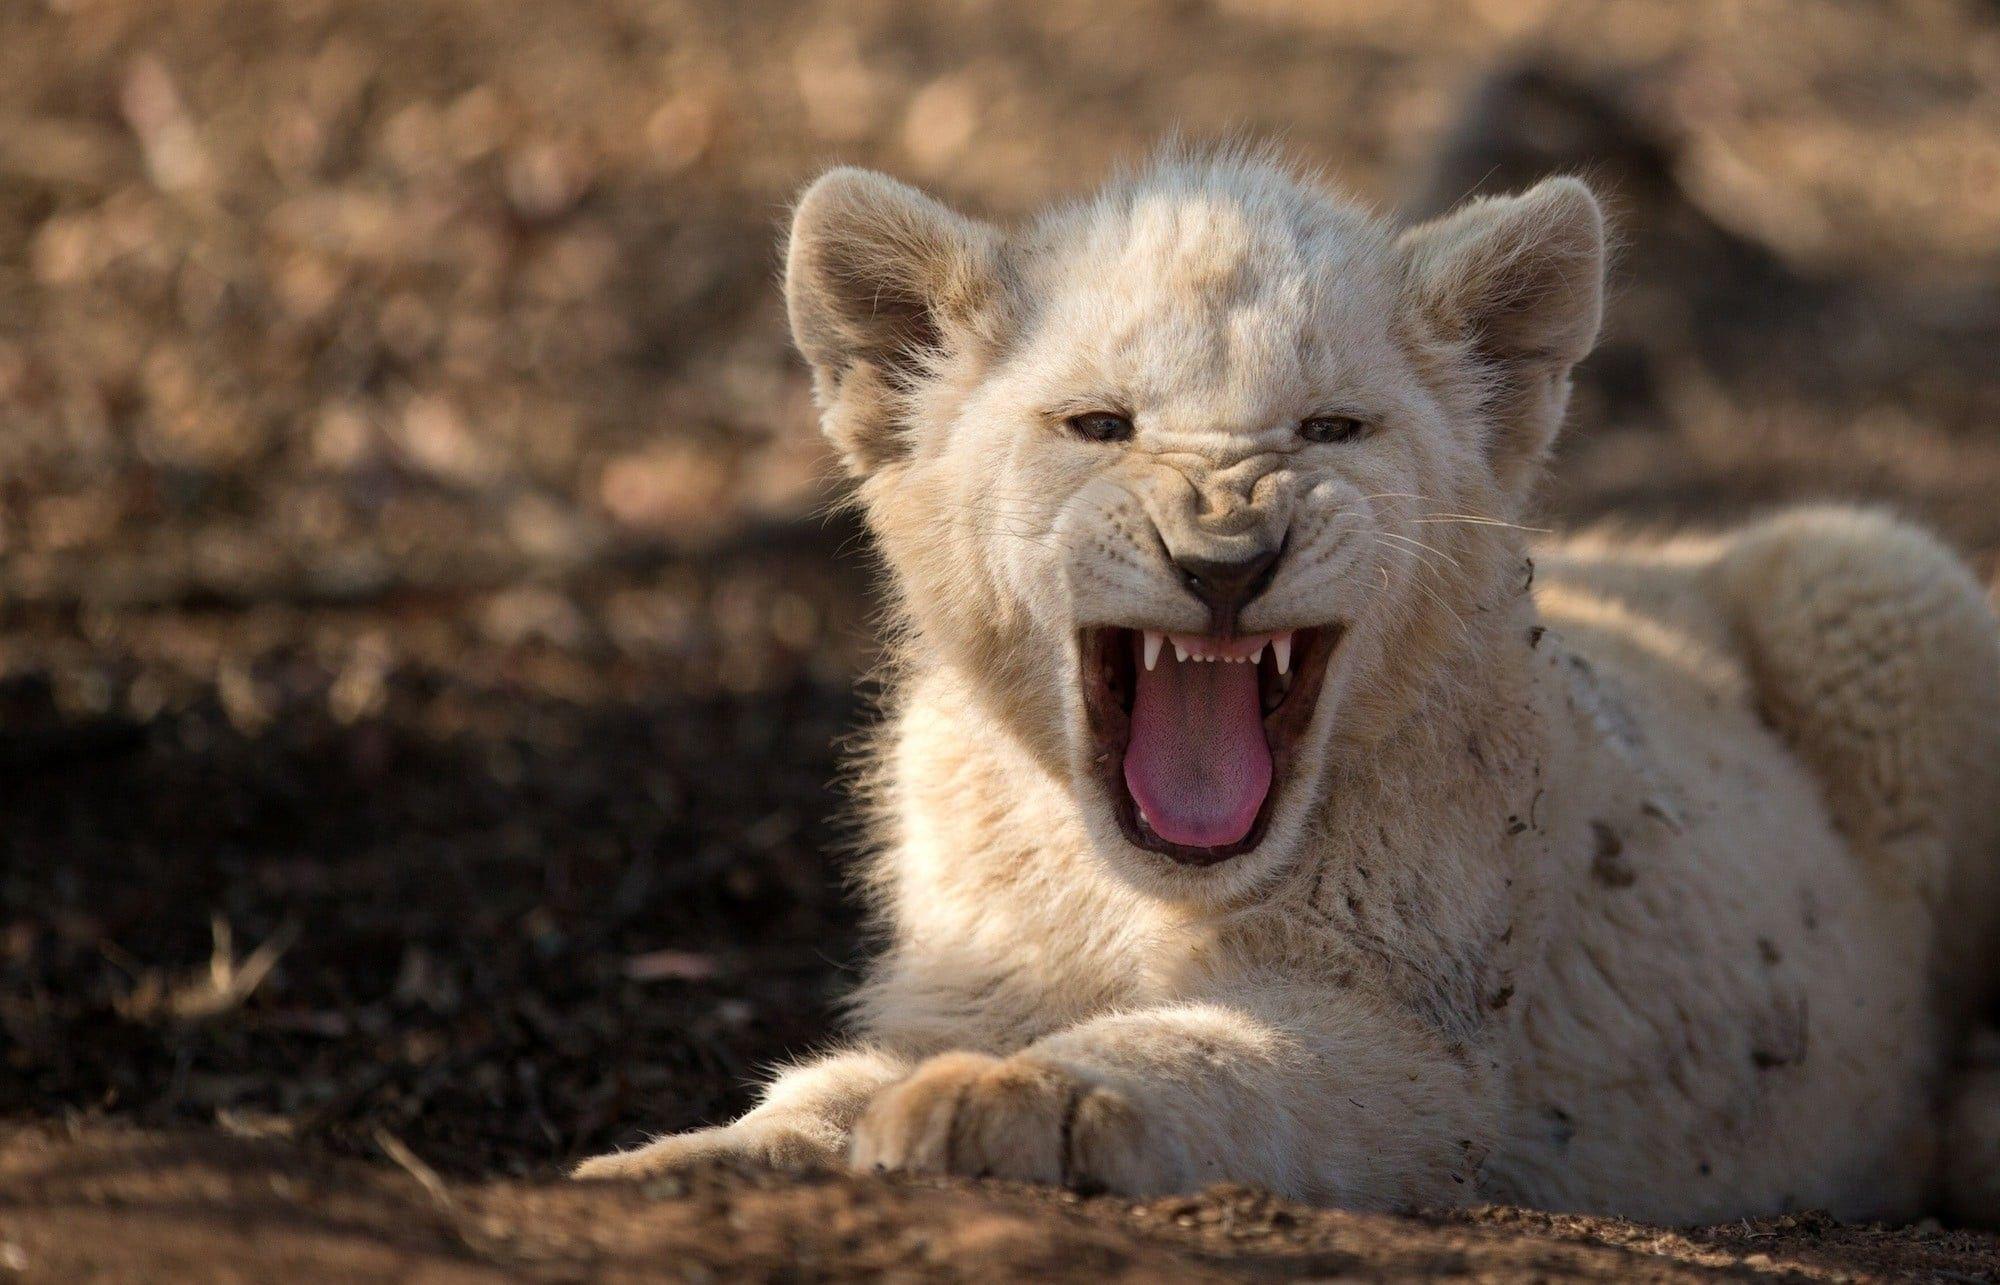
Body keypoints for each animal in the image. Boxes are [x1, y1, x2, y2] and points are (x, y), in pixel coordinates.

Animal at [577, 149, 2000, 1225]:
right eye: (1098, 425)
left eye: (1330, 428)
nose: (1224, 560)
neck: (1121, 887)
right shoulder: (960, 980)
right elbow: (811, 1094)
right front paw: (668, 1161)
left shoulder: (1426, 1045)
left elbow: (1220, 1050)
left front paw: (1012, 1100)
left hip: (1872, 574)